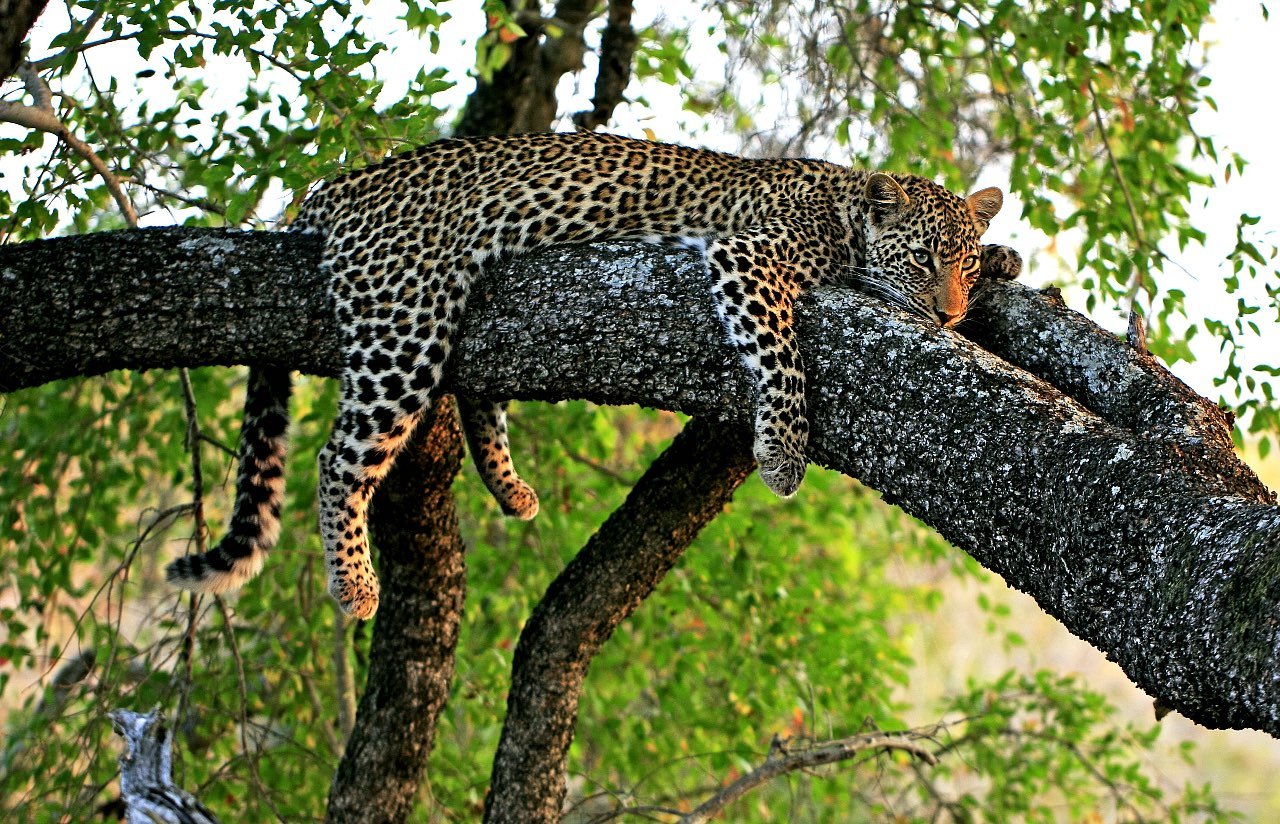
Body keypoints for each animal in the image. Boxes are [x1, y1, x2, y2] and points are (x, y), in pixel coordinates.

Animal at [165, 131, 1022, 619]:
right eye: (922, 260)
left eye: (961, 264)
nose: (948, 315)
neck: (845, 206)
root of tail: (338, 185)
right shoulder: (747, 259)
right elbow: (782, 358)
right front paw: (783, 453)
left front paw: (1008, 259)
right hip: (405, 316)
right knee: (339, 456)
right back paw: (354, 584)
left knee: (473, 392)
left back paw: (510, 488)